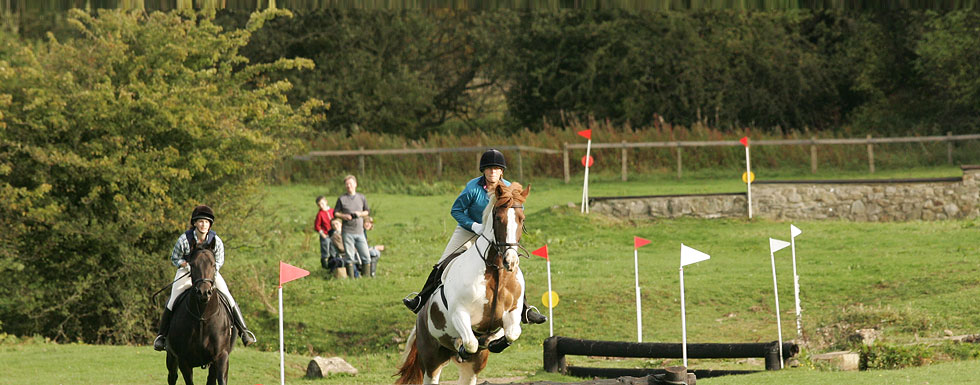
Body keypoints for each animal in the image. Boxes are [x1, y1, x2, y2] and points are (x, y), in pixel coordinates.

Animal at [165, 246, 235, 384]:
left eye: (214, 264)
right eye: (192, 265)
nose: (204, 292)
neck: (202, 317)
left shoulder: (221, 356)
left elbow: (220, 379)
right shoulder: (184, 360)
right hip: (171, 357)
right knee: (172, 376)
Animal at [396, 182, 532, 384]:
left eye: (521, 219)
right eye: (498, 218)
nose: (511, 261)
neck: (496, 273)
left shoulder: (512, 313)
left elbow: (511, 333)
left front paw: (493, 342)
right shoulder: (460, 313)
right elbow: (470, 342)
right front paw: (465, 345)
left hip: (471, 367)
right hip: (431, 358)